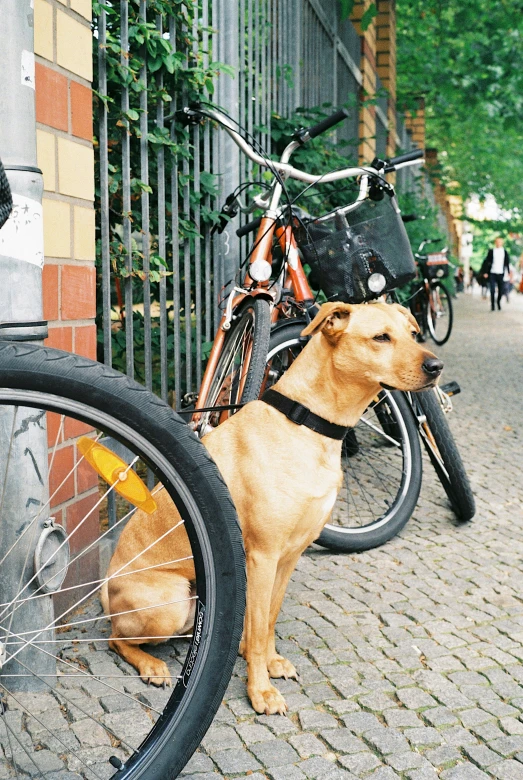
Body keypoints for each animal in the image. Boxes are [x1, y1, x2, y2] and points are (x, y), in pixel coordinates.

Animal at [101, 302, 442, 716]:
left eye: (413, 333)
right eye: (381, 337)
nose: (436, 366)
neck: (306, 423)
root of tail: (107, 590)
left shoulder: (288, 557)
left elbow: (268, 621)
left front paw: (266, 659)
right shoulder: (263, 556)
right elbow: (261, 622)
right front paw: (260, 690)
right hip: (170, 602)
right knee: (116, 639)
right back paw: (150, 665)